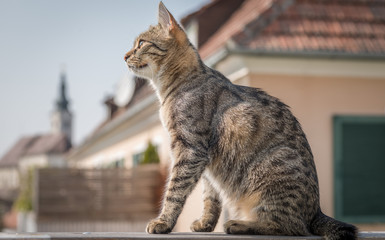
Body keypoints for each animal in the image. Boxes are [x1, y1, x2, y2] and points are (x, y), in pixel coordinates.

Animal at [124, 2, 356, 240]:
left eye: (141, 43)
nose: (124, 56)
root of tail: (317, 211)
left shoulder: (190, 148)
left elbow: (175, 191)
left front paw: (163, 221)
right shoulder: (205, 159)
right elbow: (210, 197)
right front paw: (205, 223)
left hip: (270, 171)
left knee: (290, 227)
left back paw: (240, 224)